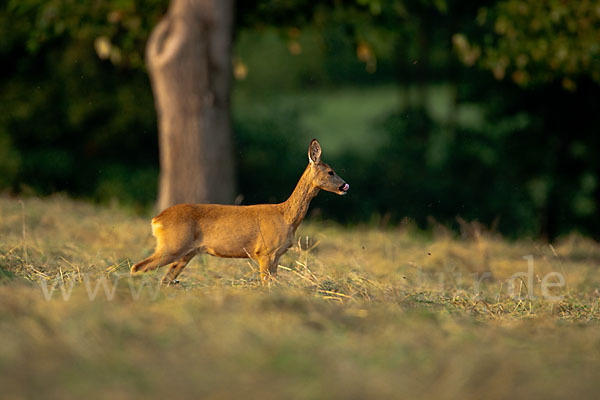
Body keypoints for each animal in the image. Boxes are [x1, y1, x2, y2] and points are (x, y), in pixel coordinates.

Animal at [129, 139, 350, 282]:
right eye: (331, 172)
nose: (345, 186)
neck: (285, 217)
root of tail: (156, 220)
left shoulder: (277, 256)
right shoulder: (265, 252)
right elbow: (267, 286)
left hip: (186, 253)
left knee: (164, 279)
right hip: (172, 246)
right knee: (137, 267)